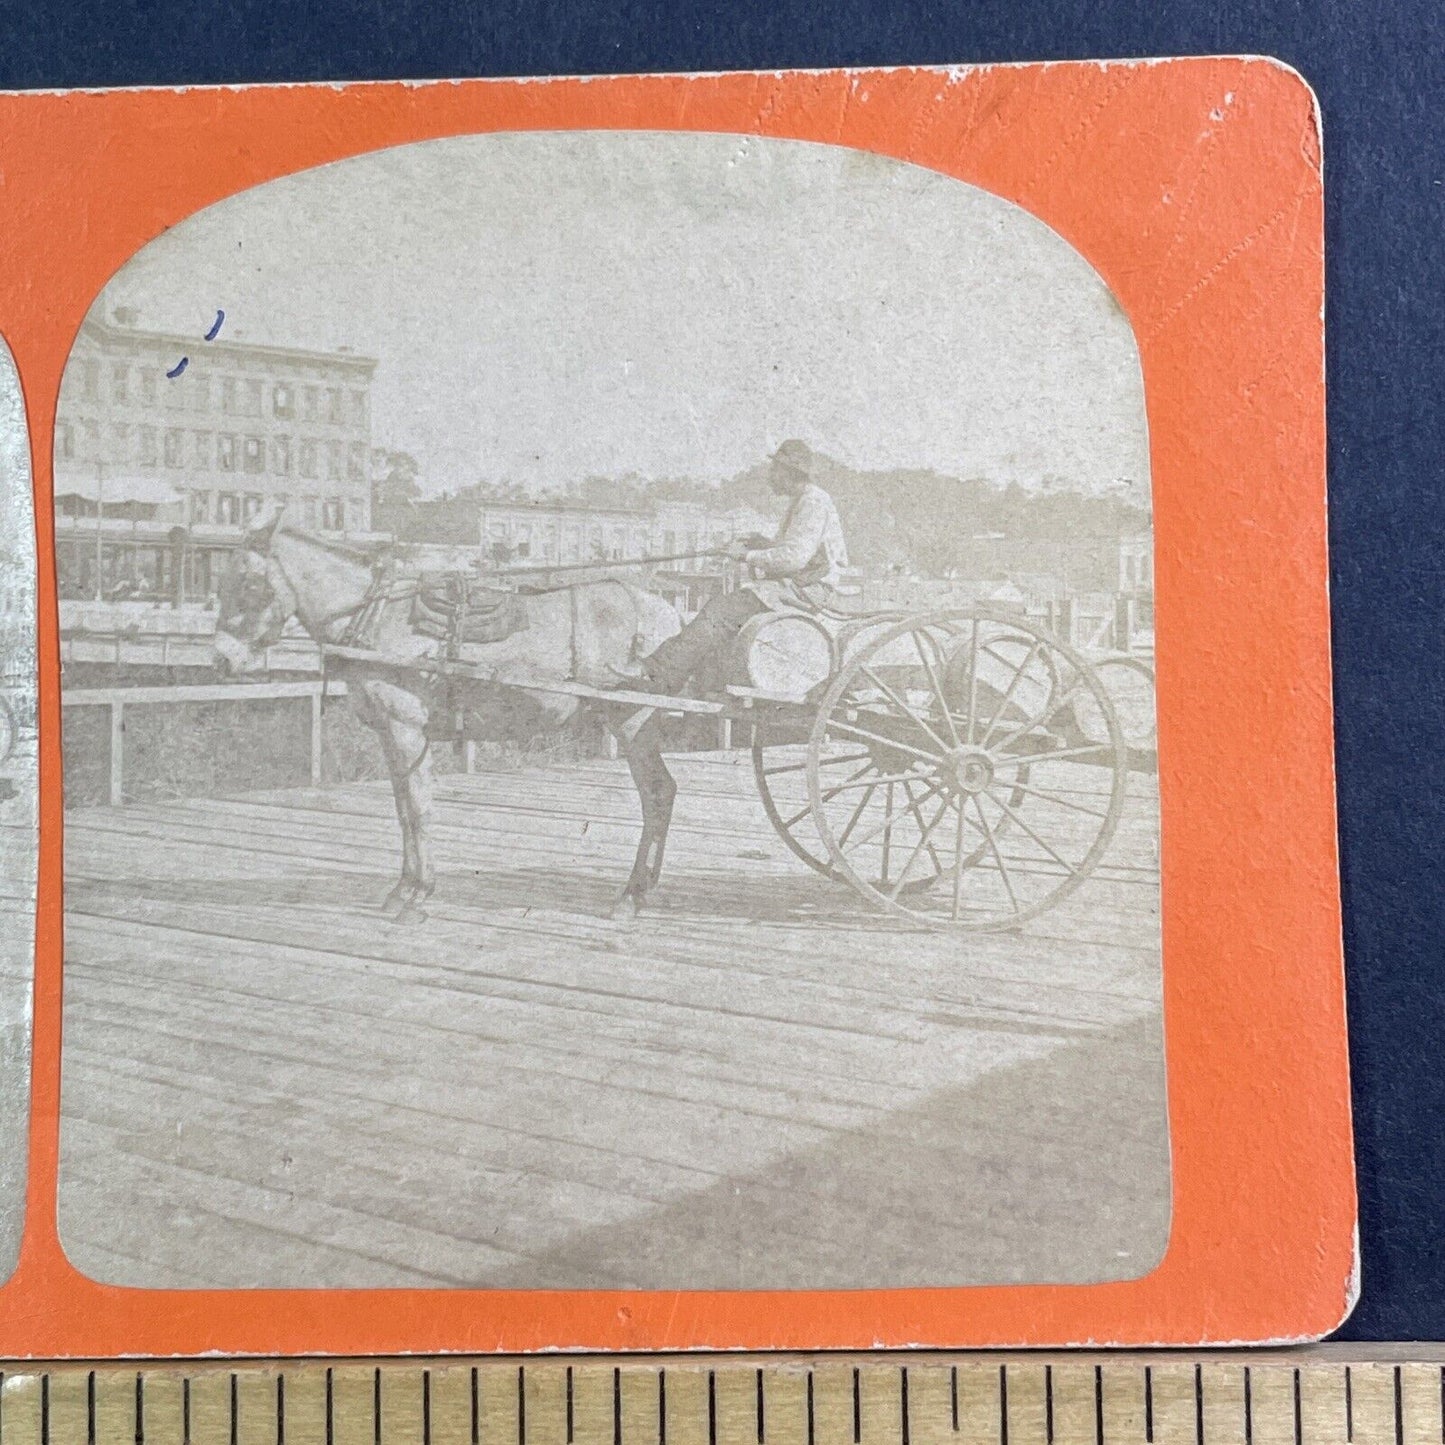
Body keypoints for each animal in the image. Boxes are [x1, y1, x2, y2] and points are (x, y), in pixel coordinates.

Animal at [212, 514, 687, 919]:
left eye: (249, 583)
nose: (222, 659)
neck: (378, 617)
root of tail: (664, 609)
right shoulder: (389, 733)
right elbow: (402, 809)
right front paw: (403, 888)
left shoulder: (407, 729)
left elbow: (419, 808)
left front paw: (419, 894)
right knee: (662, 793)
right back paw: (642, 889)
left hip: (633, 722)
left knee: (657, 793)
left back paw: (631, 894)